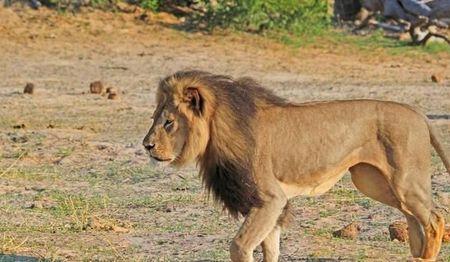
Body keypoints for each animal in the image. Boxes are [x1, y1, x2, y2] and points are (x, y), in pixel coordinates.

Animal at [142, 70, 448, 262]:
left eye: (168, 122)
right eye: (154, 117)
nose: (146, 145)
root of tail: (418, 112)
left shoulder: (270, 198)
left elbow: (239, 246)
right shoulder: (271, 206)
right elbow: (270, 249)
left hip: (404, 181)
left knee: (434, 218)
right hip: (372, 182)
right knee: (413, 218)